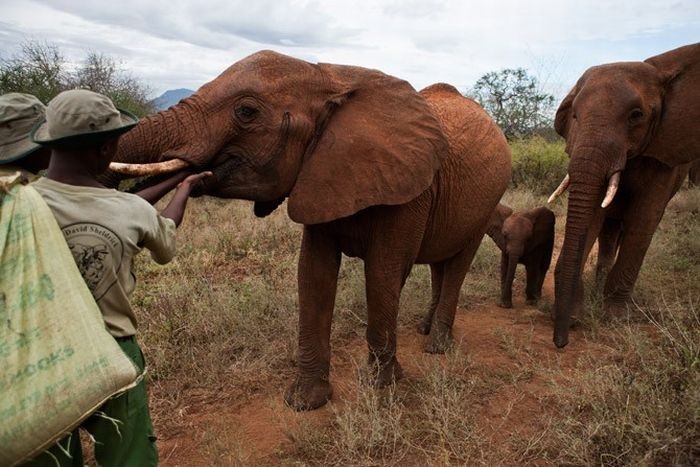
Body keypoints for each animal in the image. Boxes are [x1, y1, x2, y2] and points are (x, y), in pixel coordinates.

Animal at [106, 50, 512, 410]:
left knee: (458, 263)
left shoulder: (411, 189)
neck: (331, 77)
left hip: (488, 198)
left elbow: (383, 273)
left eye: (246, 111)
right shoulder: (319, 173)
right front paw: (305, 401)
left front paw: (380, 385)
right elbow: (314, 273)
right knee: (440, 264)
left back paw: (437, 346)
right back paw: (425, 330)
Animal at [548, 42, 696, 348]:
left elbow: (645, 218)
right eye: (575, 115)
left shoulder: (665, 153)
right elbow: (593, 213)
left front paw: (616, 317)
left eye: (636, 115)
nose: (560, 341)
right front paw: (573, 314)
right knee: (609, 230)